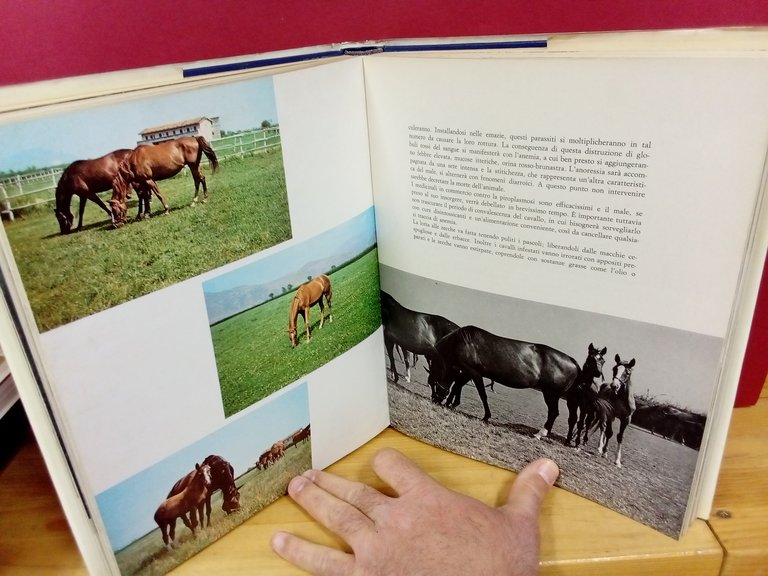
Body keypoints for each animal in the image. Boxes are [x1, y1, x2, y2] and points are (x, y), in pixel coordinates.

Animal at [431, 325, 581, 440]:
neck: (464, 342)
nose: (434, 399)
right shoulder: (469, 372)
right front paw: (451, 403)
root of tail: (571, 360)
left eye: (433, 379)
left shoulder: (473, 372)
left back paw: (540, 434)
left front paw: (486, 417)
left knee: (553, 412)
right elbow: (458, 385)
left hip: (551, 394)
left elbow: (481, 394)